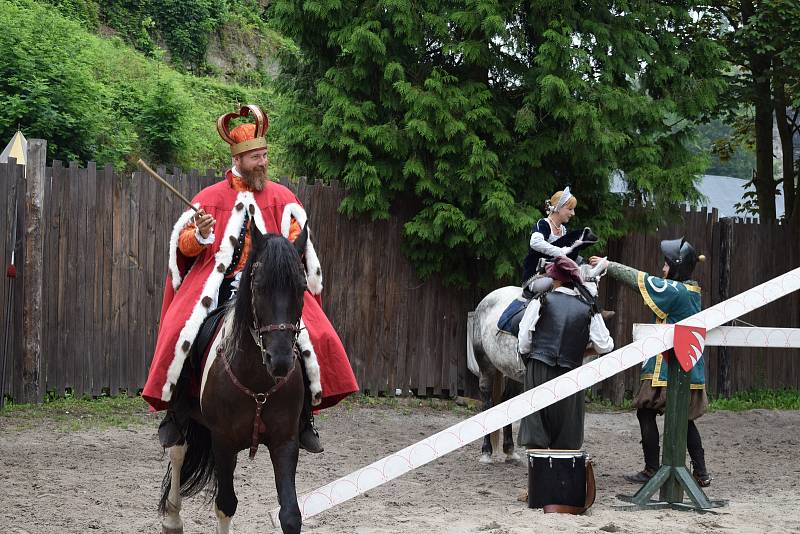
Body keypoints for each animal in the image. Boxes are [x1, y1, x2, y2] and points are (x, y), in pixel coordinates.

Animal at [159, 227, 306, 534]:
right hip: (184, 417)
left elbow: (290, 514)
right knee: (178, 451)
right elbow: (226, 505)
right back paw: (172, 520)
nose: (280, 360)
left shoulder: (285, 441)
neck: (259, 385)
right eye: (259, 286)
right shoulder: (223, 441)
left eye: (301, 288)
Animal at [468, 262, 608, 464]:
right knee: (487, 402)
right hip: (486, 366)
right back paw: (486, 452)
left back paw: (510, 450)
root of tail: (488, 298)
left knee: (507, 400)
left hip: (513, 373)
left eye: (595, 291)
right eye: (577, 287)